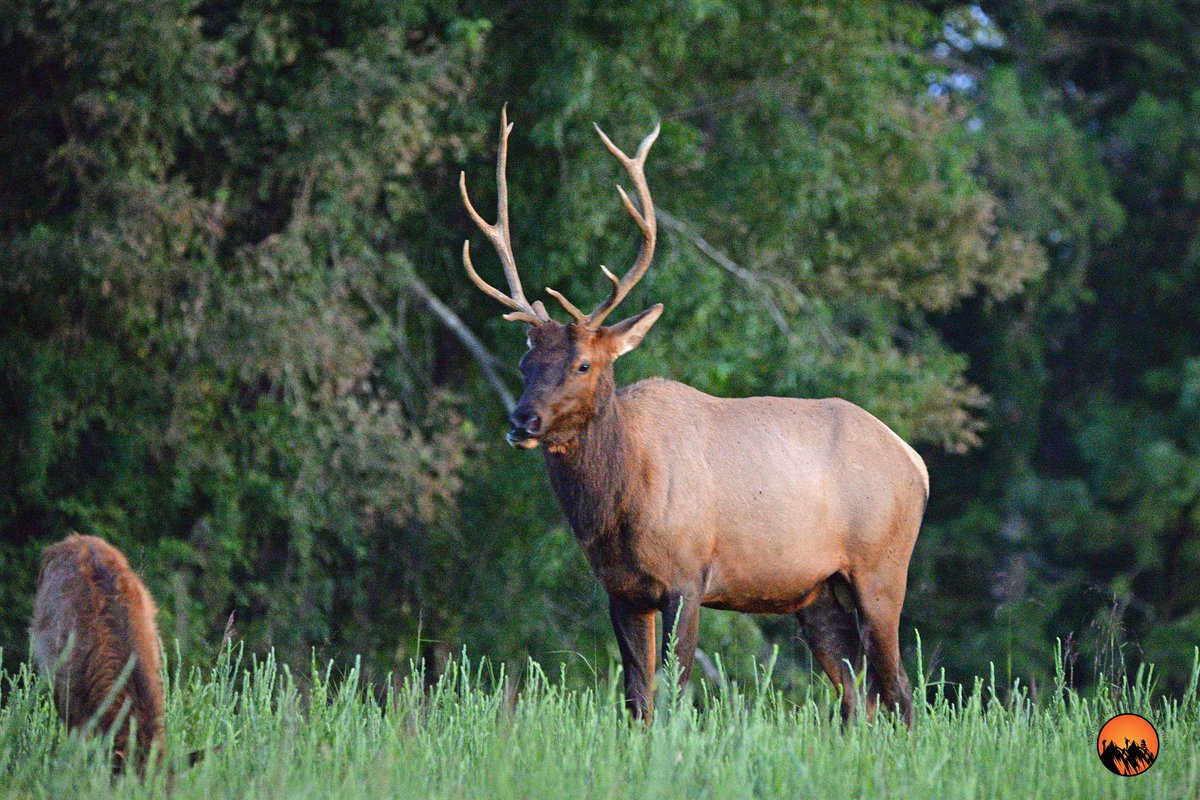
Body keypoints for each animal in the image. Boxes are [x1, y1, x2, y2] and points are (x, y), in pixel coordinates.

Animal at [457, 107, 929, 724]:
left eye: (583, 364)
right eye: (524, 361)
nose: (522, 421)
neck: (618, 505)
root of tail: (917, 464)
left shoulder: (687, 575)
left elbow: (677, 693)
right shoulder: (621, 588)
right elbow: (637, 699)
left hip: (882, 570)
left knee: (899, 691)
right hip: (816, 593)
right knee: (858, 696)